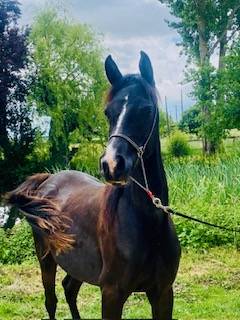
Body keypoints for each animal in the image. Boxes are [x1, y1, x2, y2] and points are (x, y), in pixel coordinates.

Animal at [6, 51, 180, 318]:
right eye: (108, 112)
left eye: (146, 109)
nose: (112, 164)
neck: (147, 224)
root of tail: (48, 179)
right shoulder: (111, 295)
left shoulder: (162, 293)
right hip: (45, 258)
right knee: (51, 301)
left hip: (77, 264)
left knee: (69, 288)